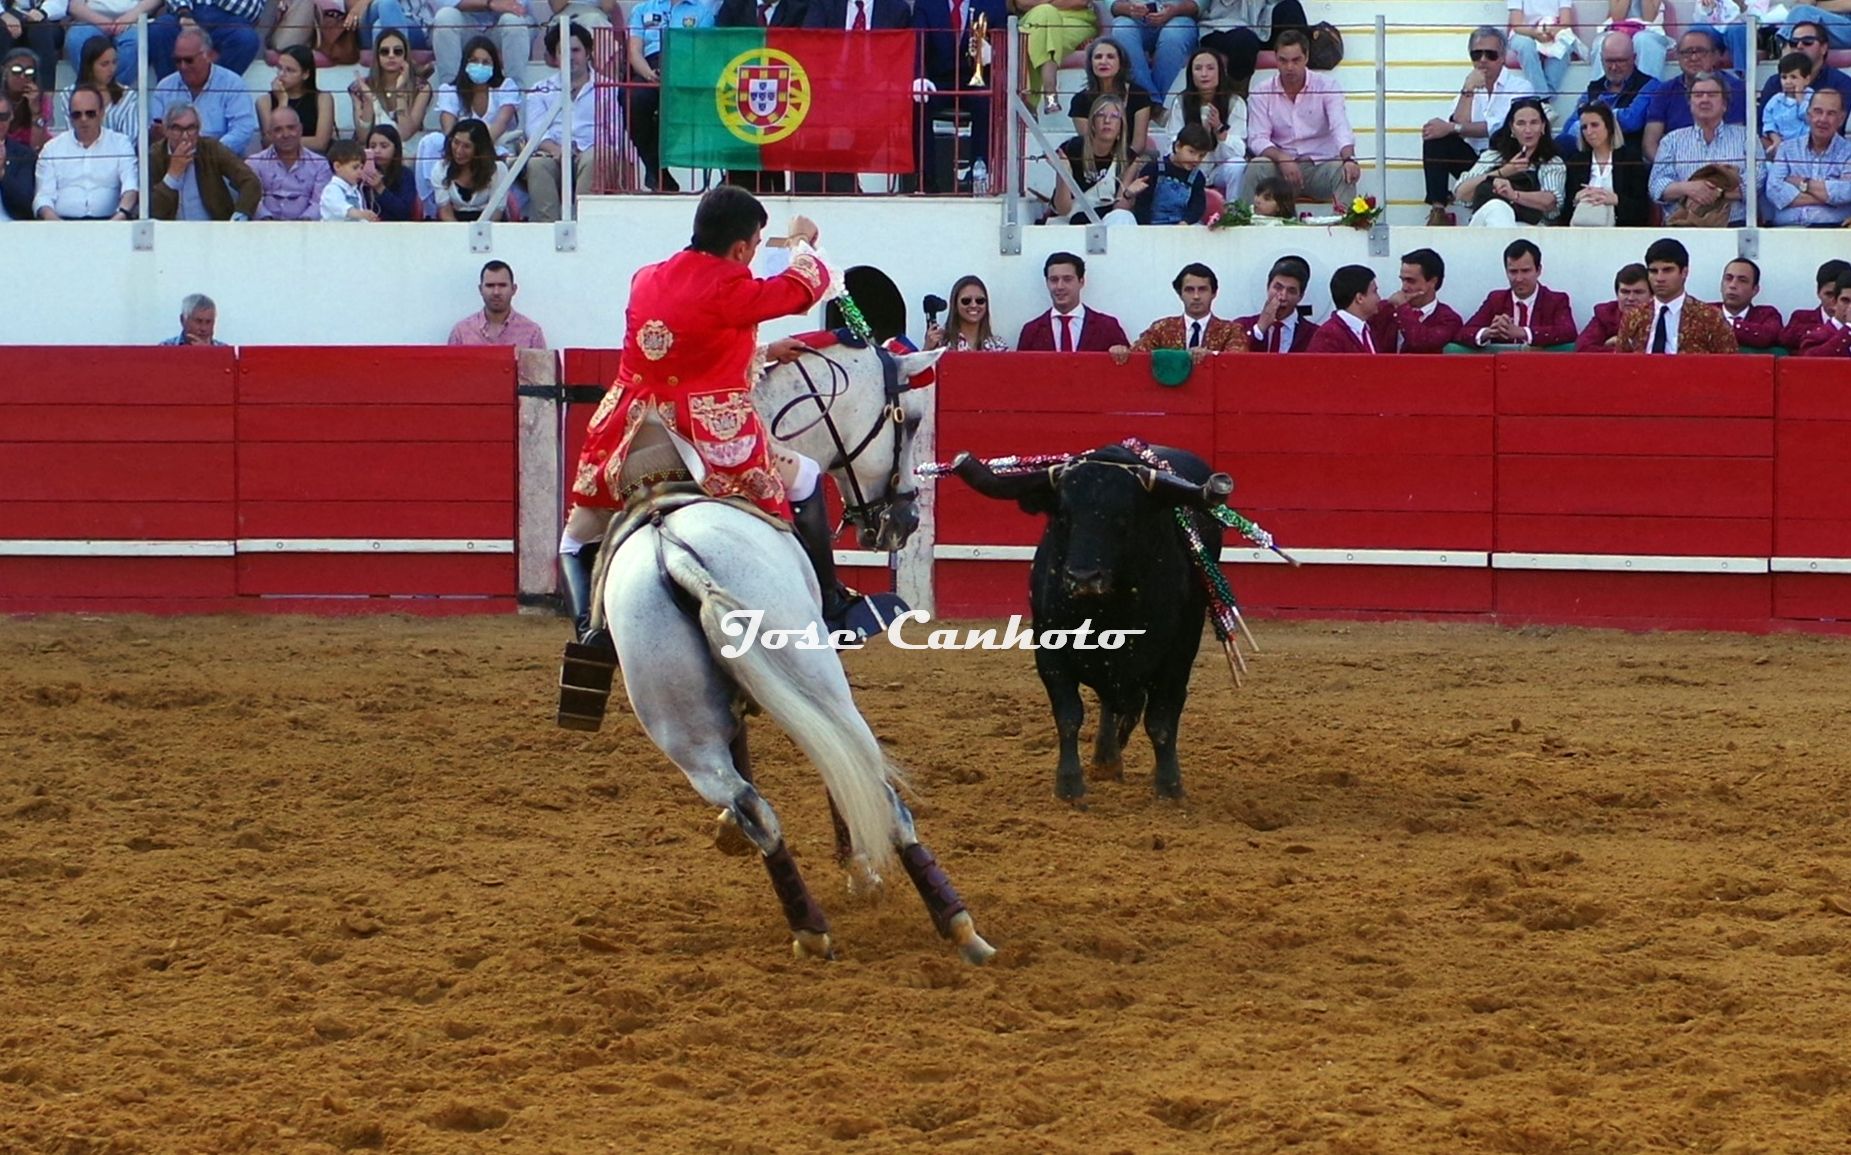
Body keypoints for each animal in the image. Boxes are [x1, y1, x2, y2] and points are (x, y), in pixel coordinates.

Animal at [598, 342, 994, 964]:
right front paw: (861, 871)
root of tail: (679, 552)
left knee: (752, 803)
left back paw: (807, 926)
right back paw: (957, 924)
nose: (905, 521)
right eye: (913, 420)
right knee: (874, 782)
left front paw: (728, 833)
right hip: (819, 682)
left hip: (679, 726)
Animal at [950, 442, 1232, 802]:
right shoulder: (1050, 654)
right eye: (1063, 516)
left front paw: (1170, 786)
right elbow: (1069, 715)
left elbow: (1162, 721)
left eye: (1123, 518)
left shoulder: (1177, 658)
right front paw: (1069, 785)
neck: (1107, 611)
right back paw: (1106, 759)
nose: (1082, 577)